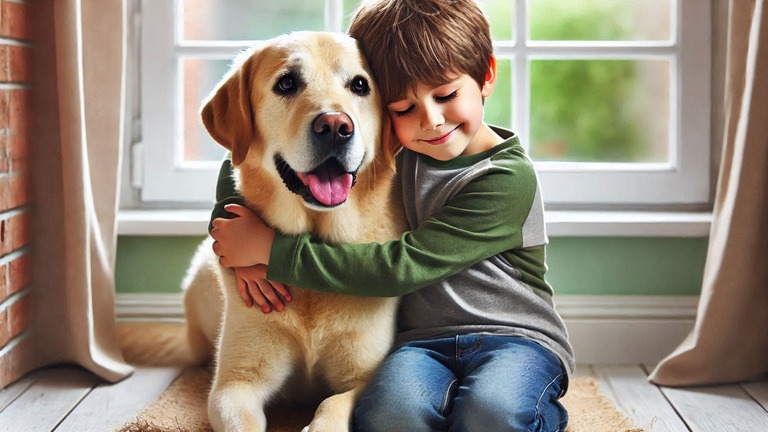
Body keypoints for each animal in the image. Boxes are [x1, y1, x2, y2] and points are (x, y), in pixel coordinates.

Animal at [178, 31, 402, 432]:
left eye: (360, 85)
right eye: (287, 83)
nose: (335, 126)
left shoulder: (364, 377)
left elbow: (331, 405)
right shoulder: (235, 385)